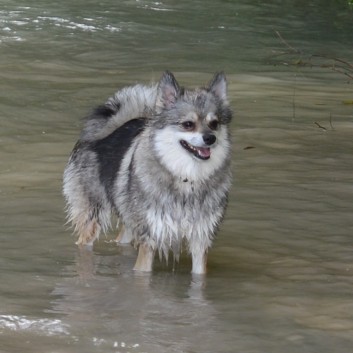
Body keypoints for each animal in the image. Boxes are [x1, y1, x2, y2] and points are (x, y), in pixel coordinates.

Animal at [62, 71, 234, 274]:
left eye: (214, 123)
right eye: (188, 124)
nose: (210, 138)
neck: (187, 179)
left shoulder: (201, 240)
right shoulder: (150, 239)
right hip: (92, 218)